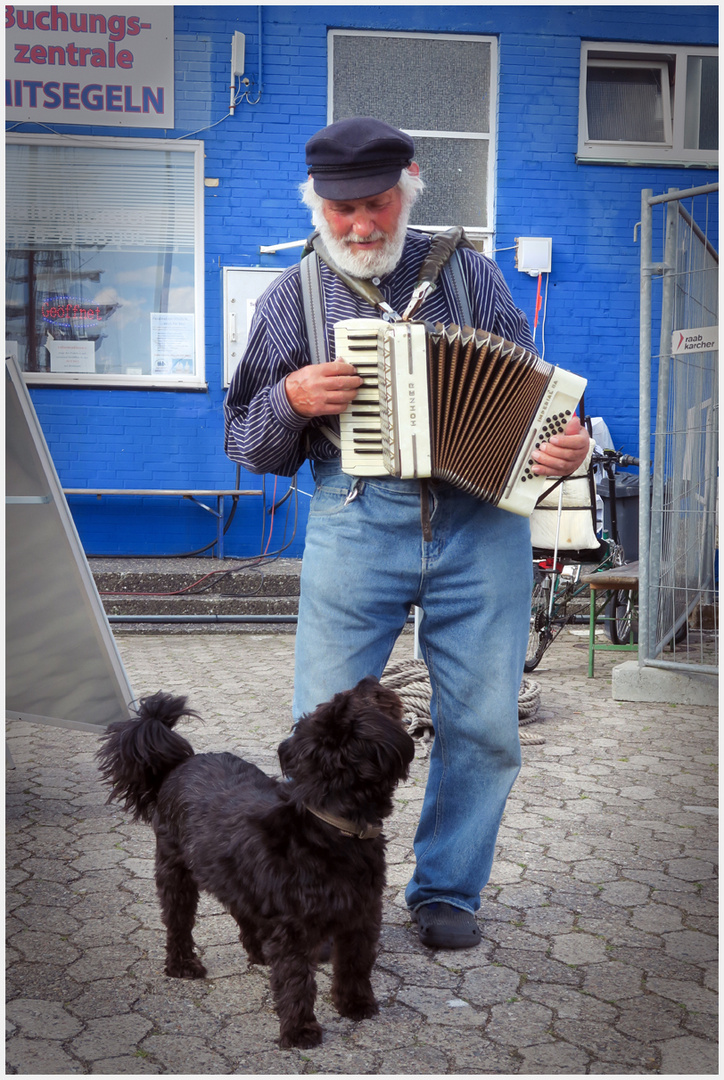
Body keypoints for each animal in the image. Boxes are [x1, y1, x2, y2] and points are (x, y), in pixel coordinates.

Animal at [96, 682, 414, 1045]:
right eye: (365, 699)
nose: (369, 680)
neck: (329, 825)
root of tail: (182, 763)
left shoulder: (361, 915)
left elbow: (355, 964)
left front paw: (356, 1004)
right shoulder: (294, 929)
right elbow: (296, 979)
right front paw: (300, 1029)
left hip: (235, 877)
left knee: (243, 913)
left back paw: (259, 950)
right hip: (174, 873)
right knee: (178, 922)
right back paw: (182, 964)